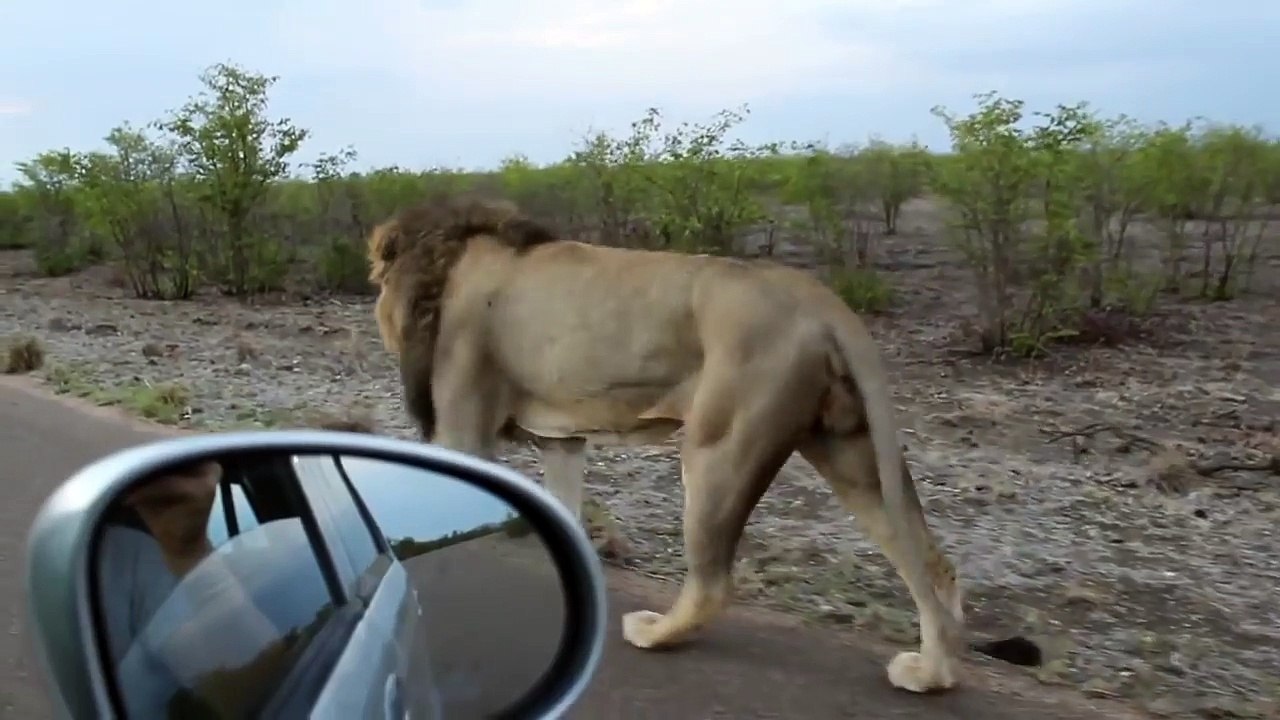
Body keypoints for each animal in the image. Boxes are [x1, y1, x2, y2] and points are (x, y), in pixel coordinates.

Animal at [366, 194, 967, 693]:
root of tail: (817, 297)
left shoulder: (462, 427)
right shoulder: (562, 440)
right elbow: (562, 507)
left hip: (720, 446)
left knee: (712, 583)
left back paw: (654, 633)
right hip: (846, 448)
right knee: (929, 561)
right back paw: (931, 673)